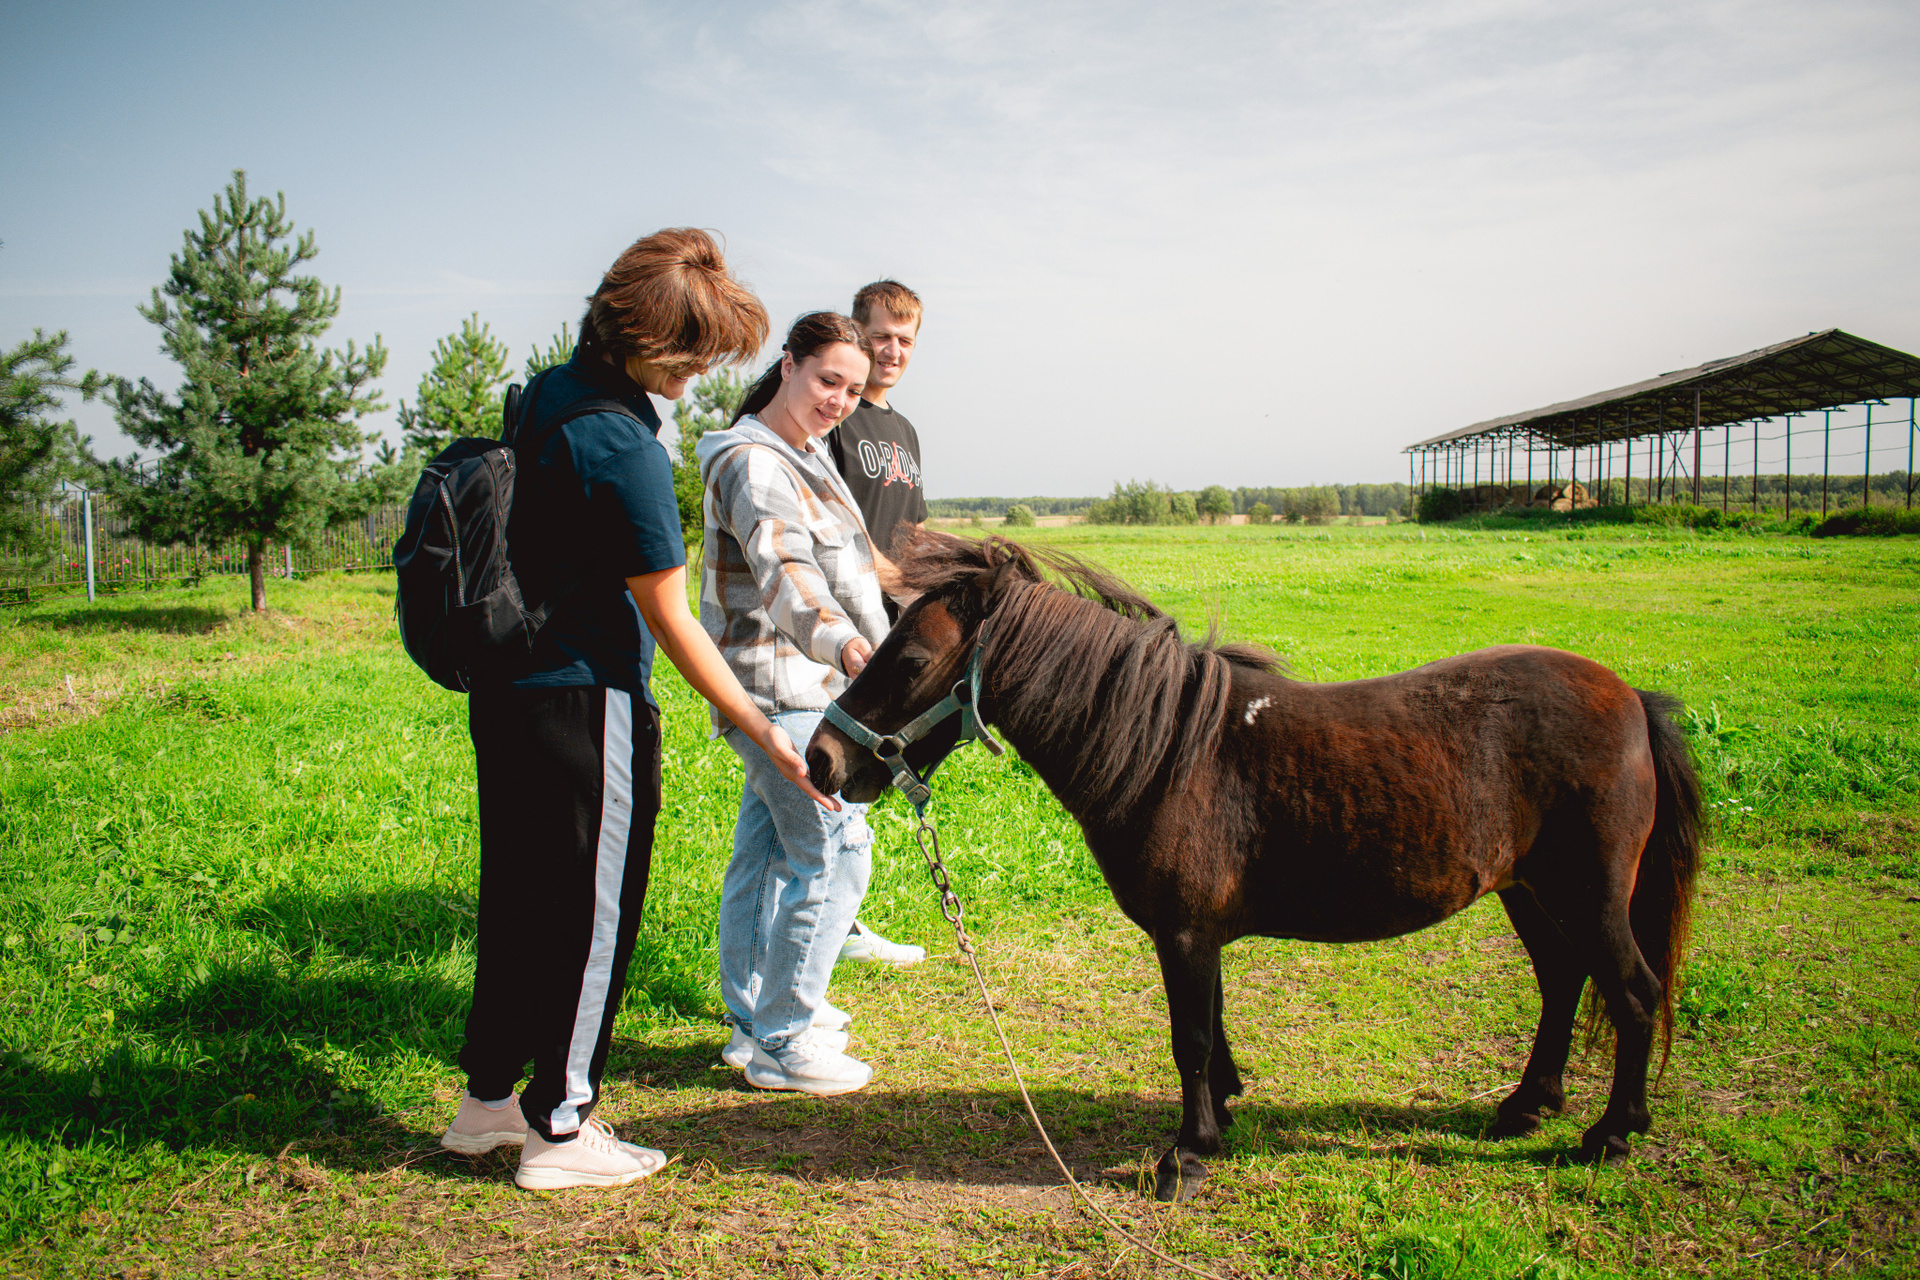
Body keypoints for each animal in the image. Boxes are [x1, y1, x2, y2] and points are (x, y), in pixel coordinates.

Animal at [805, 530, 1702, 1202]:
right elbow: (1214, 1030)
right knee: (1563, 981)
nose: (820, 759)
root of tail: (1631, 697)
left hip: (1587, 896)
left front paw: (1188, 1154)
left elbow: (1192, 1039)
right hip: (1531, 893)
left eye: (911, 660)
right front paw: (1222, 1118)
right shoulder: (1197, 936)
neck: (1170, 750)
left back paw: (1611, 1134)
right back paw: (1528, 1105)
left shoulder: (1185, 935)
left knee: (1632, 992)